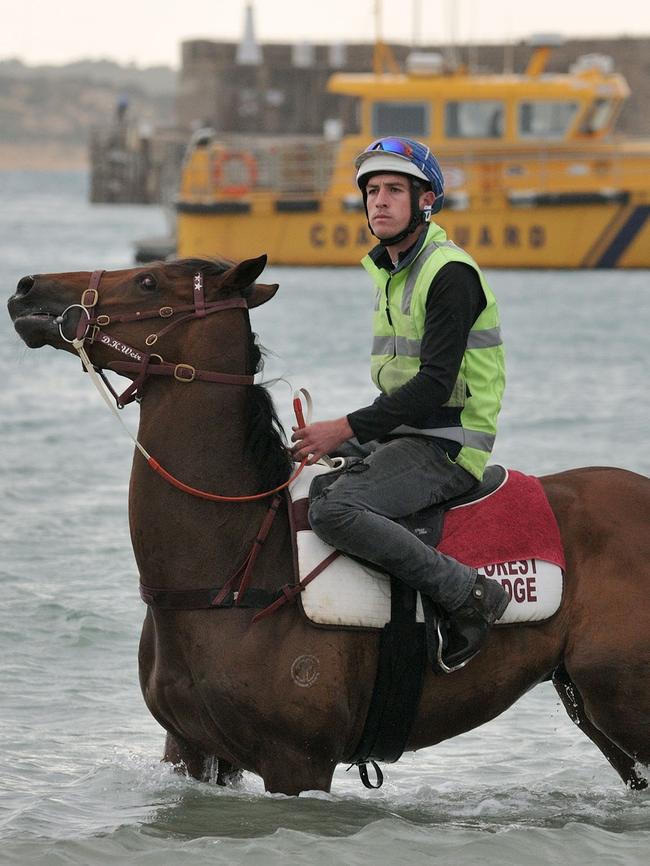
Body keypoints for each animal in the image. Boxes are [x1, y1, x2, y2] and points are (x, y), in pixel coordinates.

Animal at [7, 253, 648, 792]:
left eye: (147, 281)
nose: (28, 288)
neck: (234, 566)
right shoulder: (189, 749)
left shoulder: (297, 763)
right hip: (596, 708)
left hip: (623, 701)